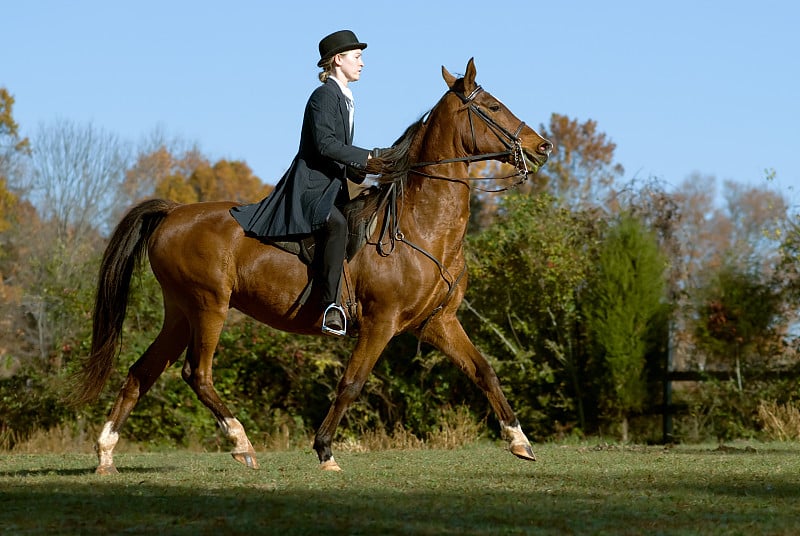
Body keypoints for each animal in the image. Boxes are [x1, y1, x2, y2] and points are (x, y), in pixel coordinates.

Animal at [72, 58, 552, 474]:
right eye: (493, 107)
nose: (541, 146)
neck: (421, 225)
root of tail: (173, 213)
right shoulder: (381, 322)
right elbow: (351, 383)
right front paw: (324, 451)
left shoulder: (437, 322)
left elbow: (483, 370)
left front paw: (519, 440)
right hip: (209, 306)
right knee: (197, 373)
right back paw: (241, 443)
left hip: (179, 312)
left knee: (141, 373)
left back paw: (105, 455)